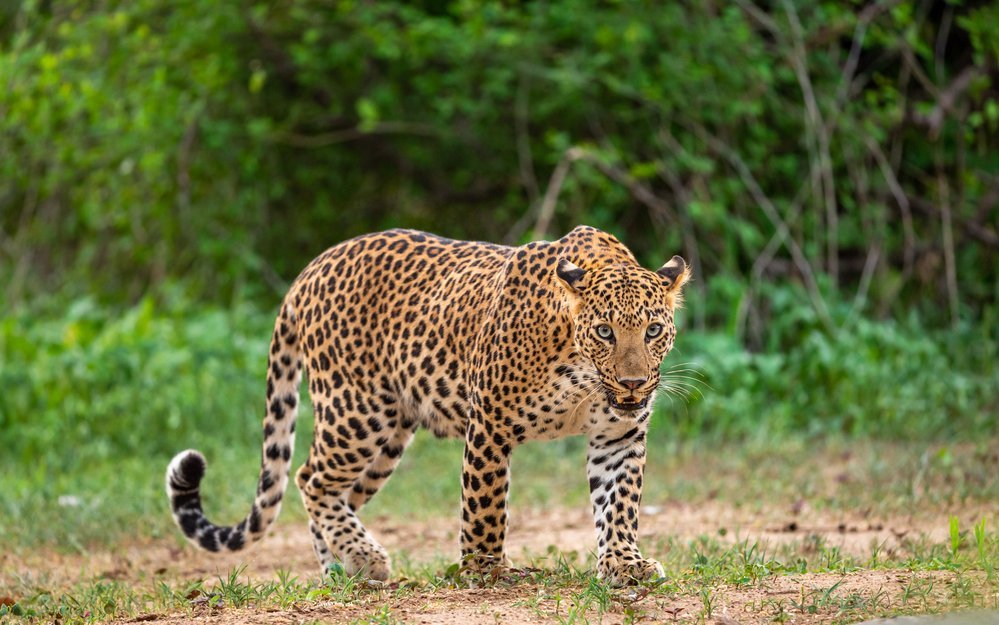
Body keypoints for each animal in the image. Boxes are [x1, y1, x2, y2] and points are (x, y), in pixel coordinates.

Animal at [165, 225, 691, 585]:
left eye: (653, 330)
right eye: (604, 331)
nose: (633, 383)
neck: (582, 374)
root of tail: (310, 270)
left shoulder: (619, 435)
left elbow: (620, 503)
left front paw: (624, 564)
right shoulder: (490, 424)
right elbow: (485, 505)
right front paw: (485, 570)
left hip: (388, 439)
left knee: (334, 493)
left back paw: (341, 568)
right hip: (356, 412)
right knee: (310, 478)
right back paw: (364, 559)